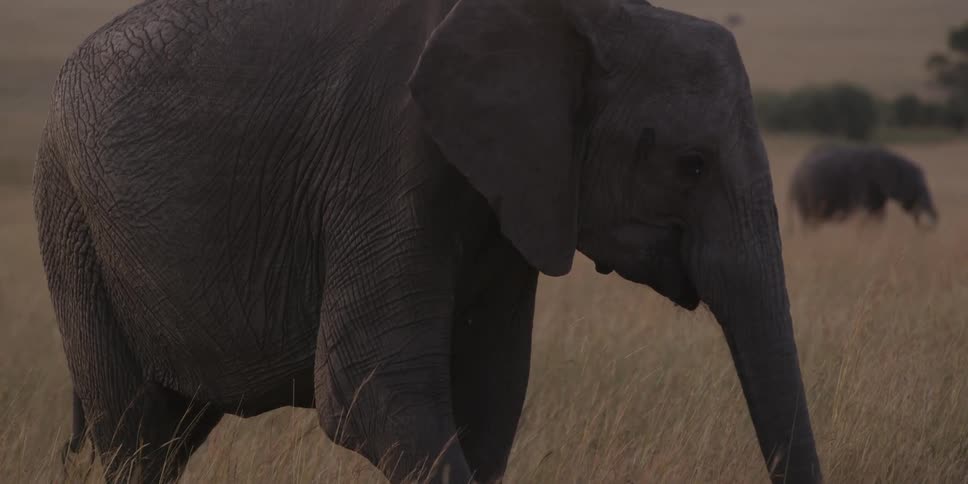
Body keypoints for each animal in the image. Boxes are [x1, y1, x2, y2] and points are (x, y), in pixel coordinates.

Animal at [33, 0, 821, 482]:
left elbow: (489, 396)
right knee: (136, 432)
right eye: (691, 165)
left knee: (169, 432)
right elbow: (370, 387)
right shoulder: (388, 152)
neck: (588, 17)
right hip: (68, 209)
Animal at [789, 144, 939, 228]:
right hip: (804, 196)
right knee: (810, 220)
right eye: (917, 186)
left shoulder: (877, 191)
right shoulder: (861, 182)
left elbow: (878, 214)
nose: (932, 221)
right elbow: (865, 212)